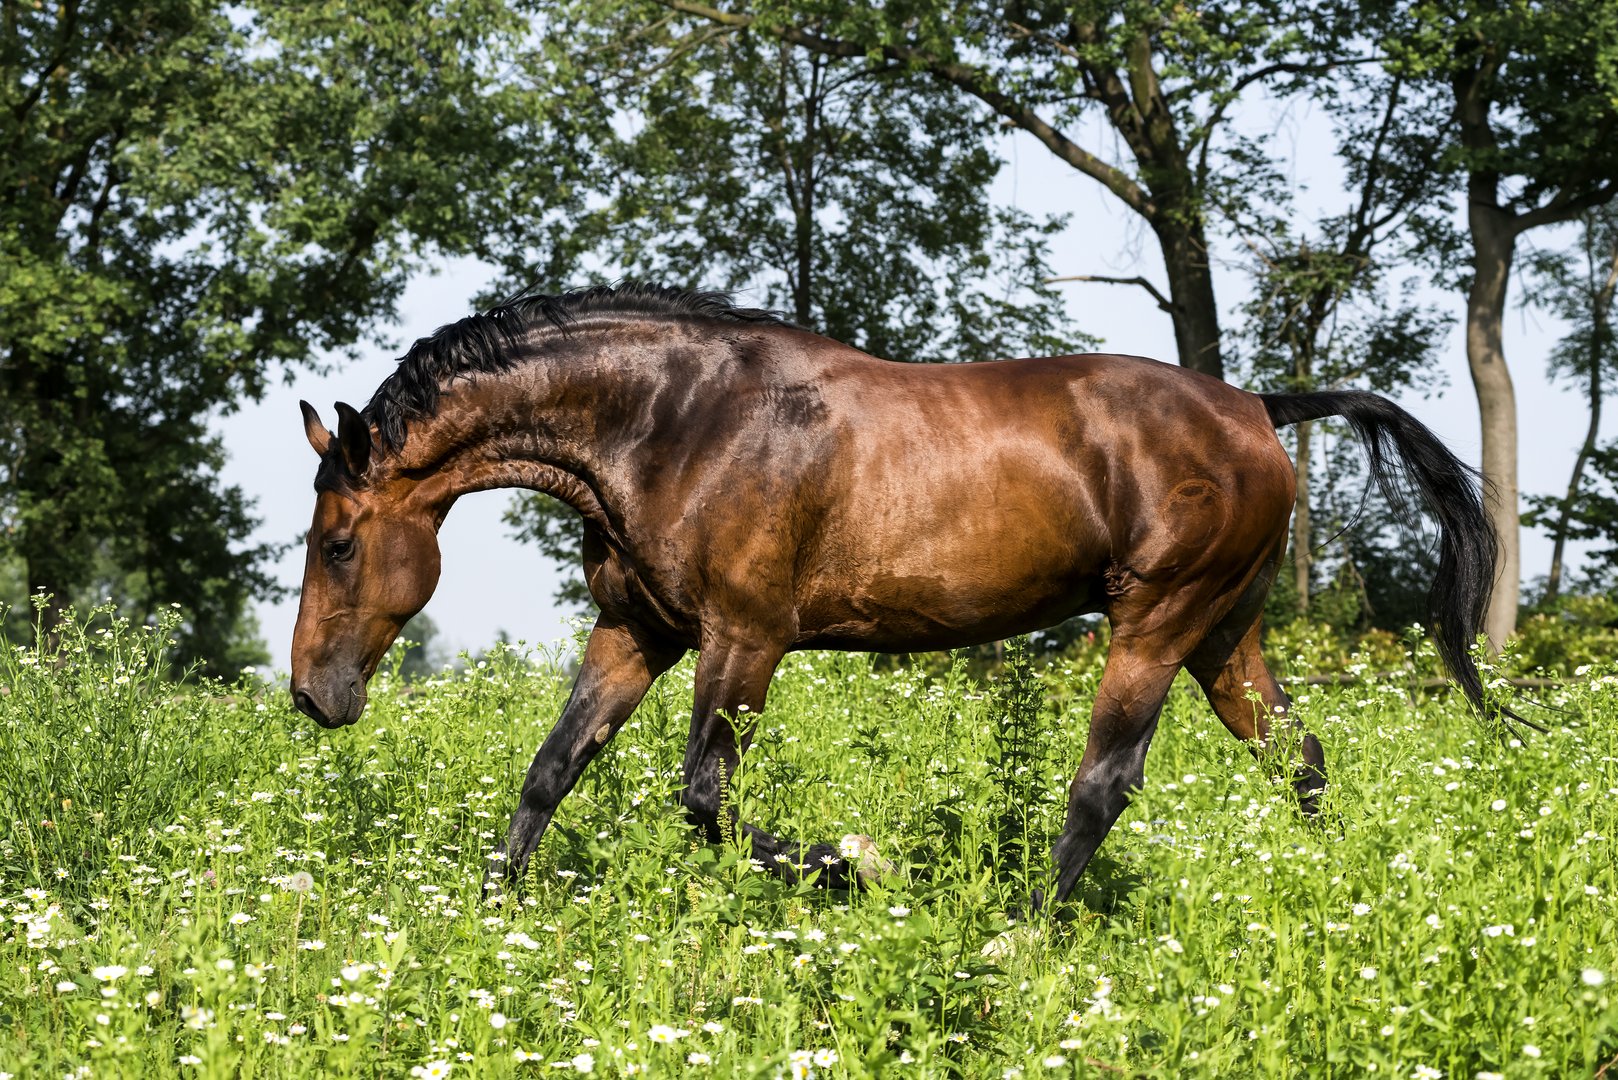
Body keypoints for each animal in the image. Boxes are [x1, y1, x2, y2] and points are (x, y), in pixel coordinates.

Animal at [290, 283, 1505, 905]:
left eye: (339, 542)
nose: (311, 694)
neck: (676, 424)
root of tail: (1257, 407)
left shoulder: (744, 639)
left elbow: (705, 799)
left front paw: (855, 863)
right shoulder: (638, 630)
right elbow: (550, 771)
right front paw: (488, 916)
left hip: (1156, 621)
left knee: (1102, 785)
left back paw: (1020, 930)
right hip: (1224, 635)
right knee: (1300, 759)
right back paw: (1338, 890)